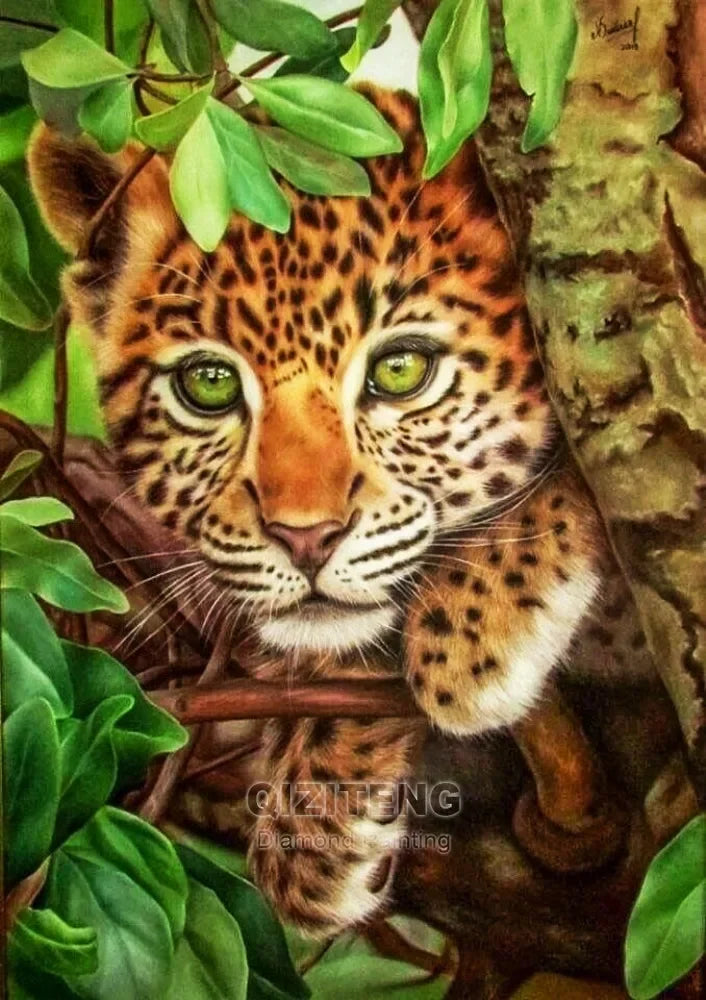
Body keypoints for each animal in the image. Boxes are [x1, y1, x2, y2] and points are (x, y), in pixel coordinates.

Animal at [29, 85, 655, 939]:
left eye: (401, 370)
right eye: (209, 385)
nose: (306, 539)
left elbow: (587, 473)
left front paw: (472, 635)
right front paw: (310, 812)